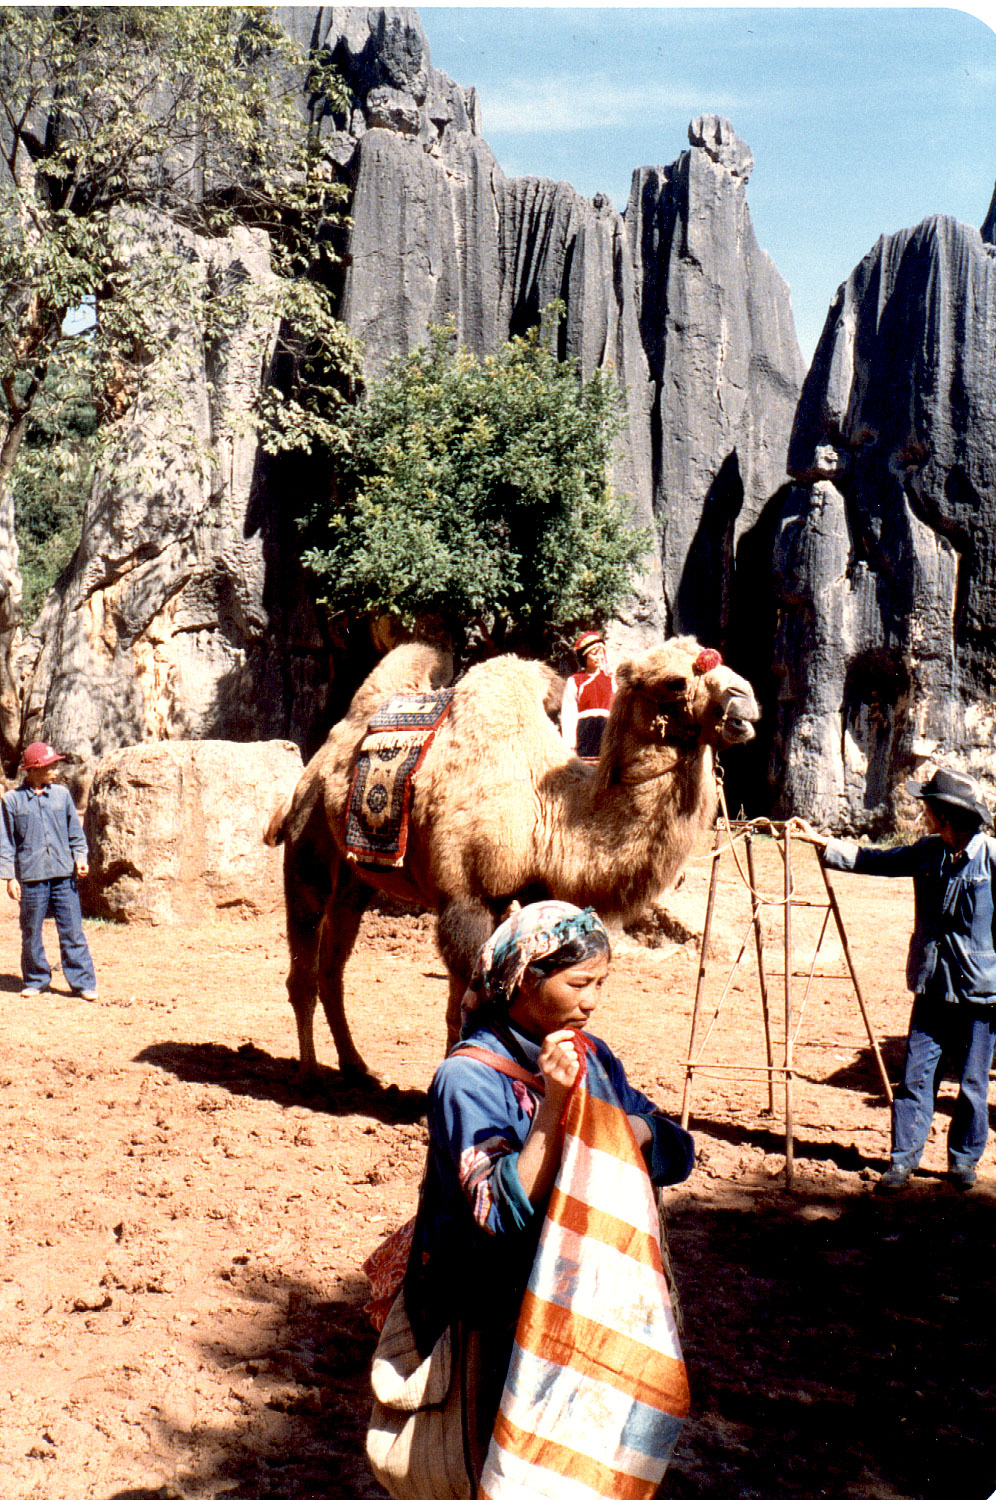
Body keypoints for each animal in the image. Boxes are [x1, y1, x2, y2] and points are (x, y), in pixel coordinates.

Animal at [268, 639, 759, 1074]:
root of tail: (325, 753)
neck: (551, 811)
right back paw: (309, 1072)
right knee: (304, 962)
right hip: (308, 842)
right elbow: (469, 1003)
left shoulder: (529, 893)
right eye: (675, 682)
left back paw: (356, 1068)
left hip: (357, 877)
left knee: (333, 966)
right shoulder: (465, 899)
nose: (746, 703)